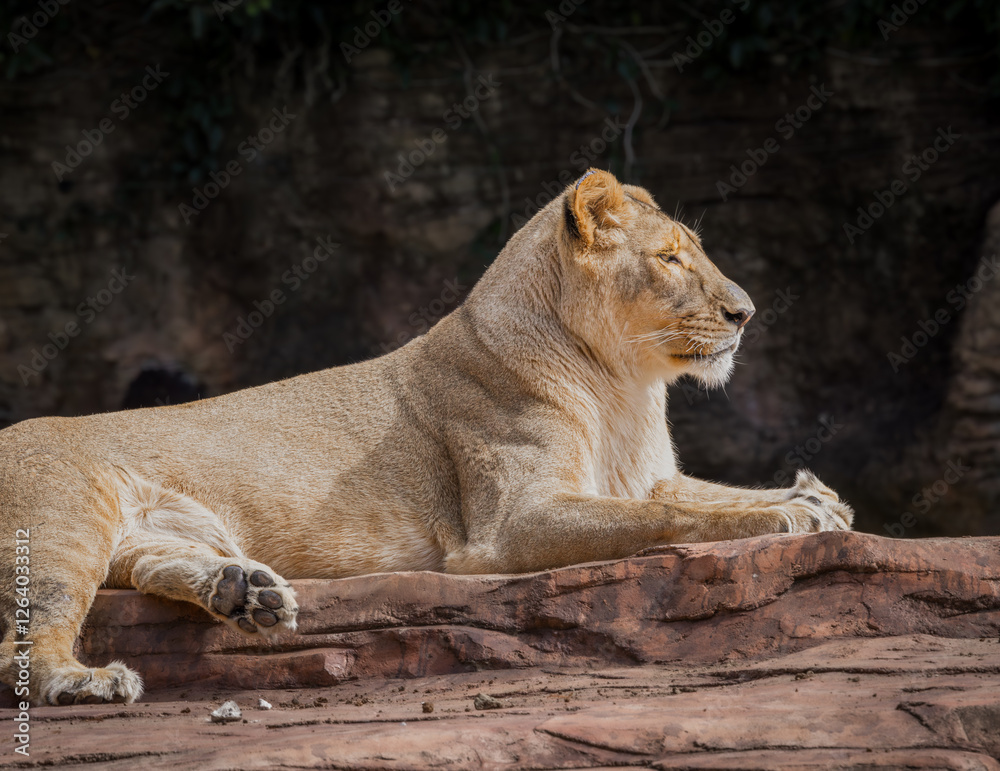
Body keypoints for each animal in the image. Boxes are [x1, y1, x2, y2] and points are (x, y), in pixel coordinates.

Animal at [0, 169, 852, 705]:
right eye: (671, 258)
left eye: (694, 250)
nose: (747, 311)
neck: (623, 387)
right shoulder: (508, 527)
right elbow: (668, 518)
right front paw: (789, 515)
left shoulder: (639, 474)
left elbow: (698, 493)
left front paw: (818, 497)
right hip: (65, 520)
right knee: (24, 646)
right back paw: (88, 680)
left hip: (146, 531)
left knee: (151, 566)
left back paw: (244, 592)